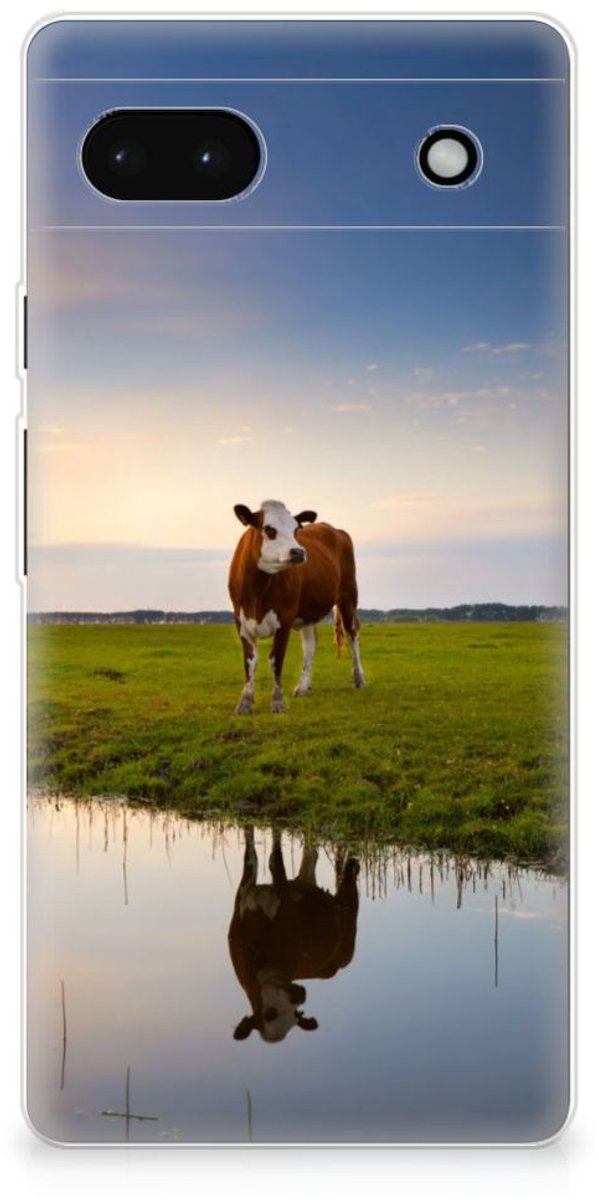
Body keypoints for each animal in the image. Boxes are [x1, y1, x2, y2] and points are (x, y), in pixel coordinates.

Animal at [228, 499, 366, 715]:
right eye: (269, 529)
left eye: (296, 530)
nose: (299, 552)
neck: (257, 591)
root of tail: (335, 529)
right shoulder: (241, 621)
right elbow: (250, 661)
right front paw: (245, 702)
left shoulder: (284, 619)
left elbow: (276, 660)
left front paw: (277, 702)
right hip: (308, 613)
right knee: (310, 645)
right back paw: (302, 687)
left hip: (348, 597)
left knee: (353, 634)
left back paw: (359, 678)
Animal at [228, 827, 360, 1043]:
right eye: (269, 1013)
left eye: (296, 1015)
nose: (300, 996)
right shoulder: (244, 893)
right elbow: (251, 855)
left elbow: (274, 860)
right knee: (311, 854)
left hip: (349, 922)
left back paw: (352, 864)